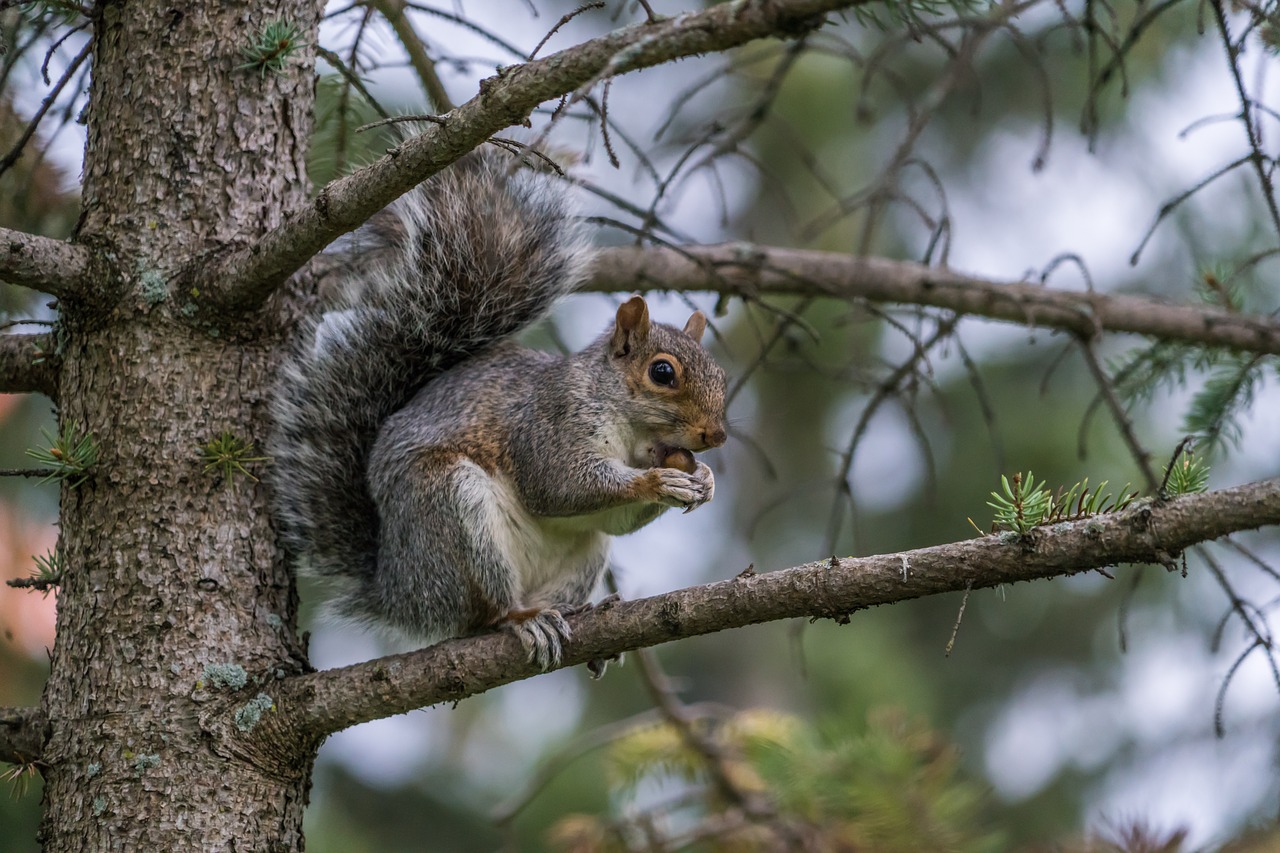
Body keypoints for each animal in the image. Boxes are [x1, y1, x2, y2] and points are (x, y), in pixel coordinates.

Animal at [267, 154, 732, 671]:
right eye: (662, 372)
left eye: (719, 372)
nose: (715, 435)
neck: (634, 434)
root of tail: (396, 590)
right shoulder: (550, 422)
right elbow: (559, 485)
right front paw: (659, 481)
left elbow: (617, 517)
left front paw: (704, 479)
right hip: (449, 510)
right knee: (481, 613)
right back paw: (520, 618)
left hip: (584, 552)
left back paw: (578, 613)